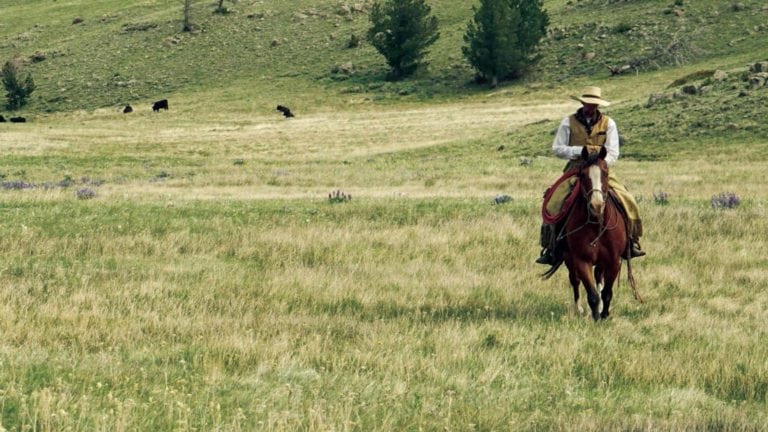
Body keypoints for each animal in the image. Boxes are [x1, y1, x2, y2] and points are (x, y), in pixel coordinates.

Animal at [556, 147, 640, 318]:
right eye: (582, 174)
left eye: (605, 173)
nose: (596, 205)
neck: (596, 224)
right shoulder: (582, 260)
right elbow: (592, 294)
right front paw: (595, 316)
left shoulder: (613, 261)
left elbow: (606, 292)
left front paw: (604, 314)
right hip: (569, 258)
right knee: (575, 280)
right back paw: (579, 309)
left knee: (598, 278)